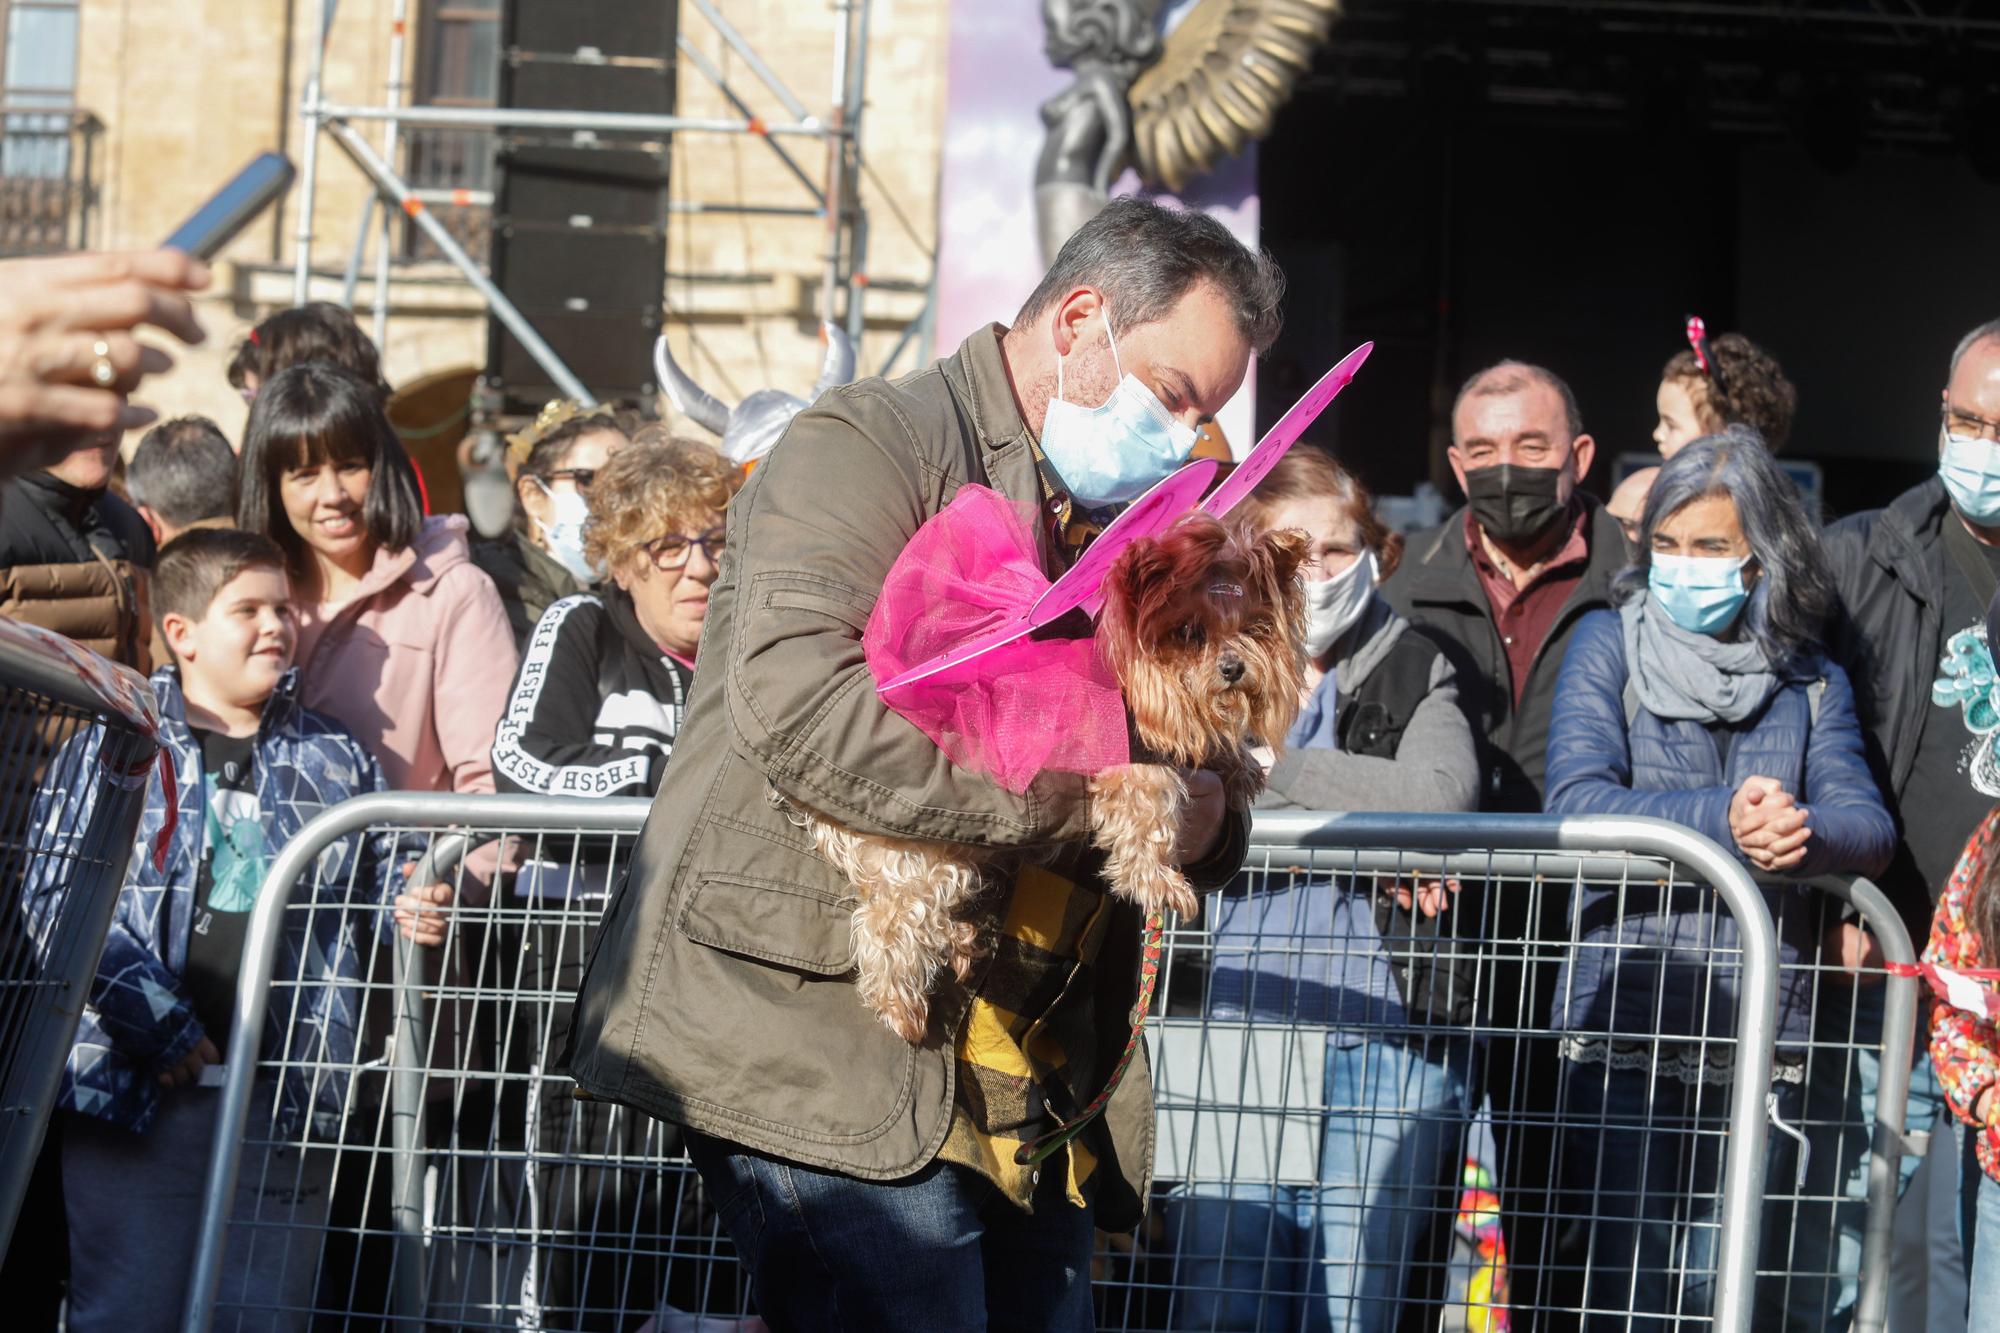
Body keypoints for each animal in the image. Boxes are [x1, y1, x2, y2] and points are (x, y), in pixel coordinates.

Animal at [796, 512, 1312, 1040]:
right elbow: (1149, 823)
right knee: (893, 917)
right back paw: (901, 1006)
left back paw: (960, 942)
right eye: (1189, 632)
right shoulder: (1135, 768)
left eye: (1254, 628)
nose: (1233, 668)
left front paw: (1239, 766)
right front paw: (1159, 882)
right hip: (917, 846)